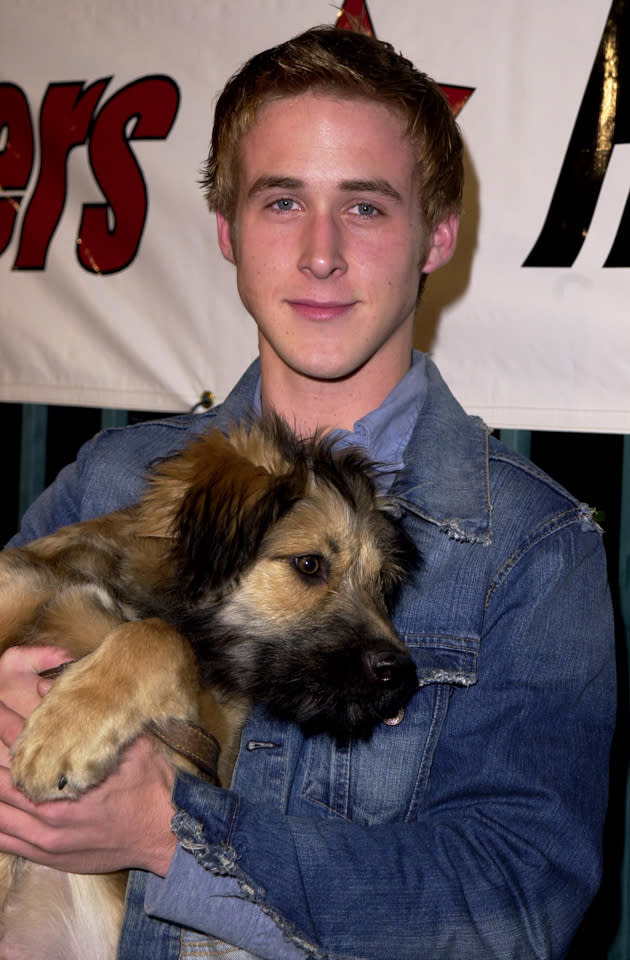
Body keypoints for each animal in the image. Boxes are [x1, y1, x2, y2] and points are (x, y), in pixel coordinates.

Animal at [0, 418, 420, 960]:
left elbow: (161, 636)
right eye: (309, 564)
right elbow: (163, 633)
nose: (400, 674)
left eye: (381, 584)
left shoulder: (197, 752)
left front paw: (62, 733)